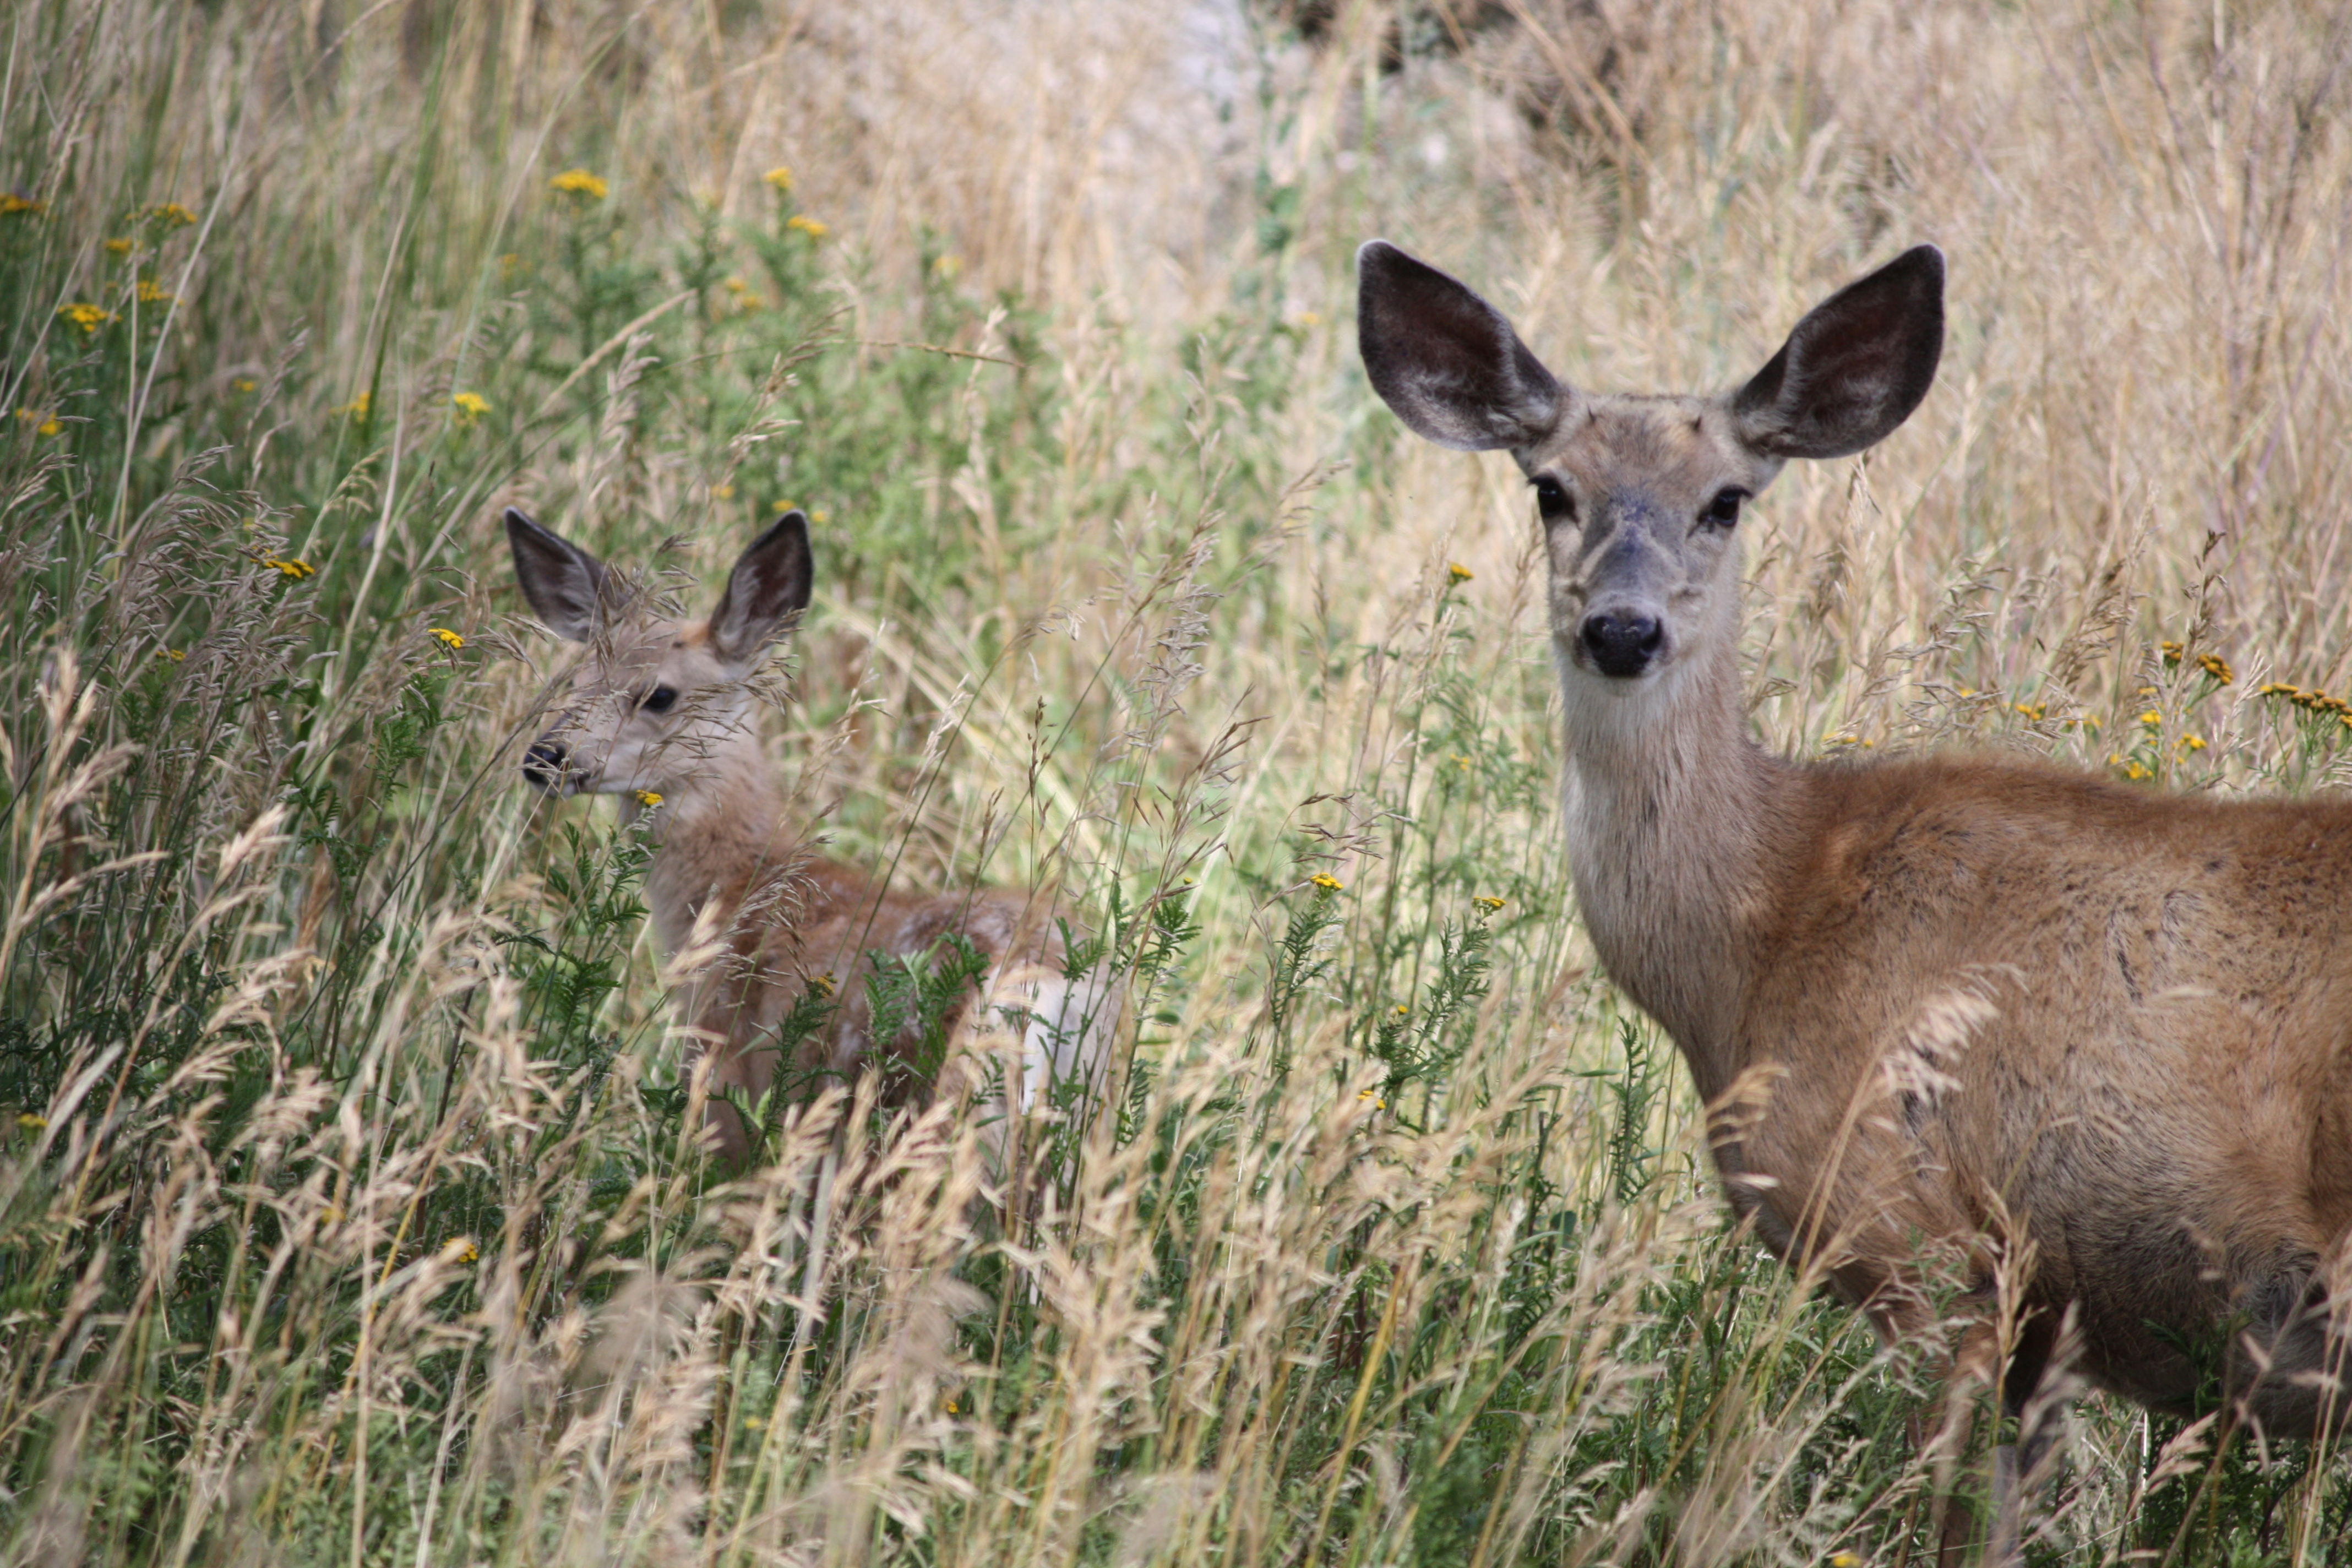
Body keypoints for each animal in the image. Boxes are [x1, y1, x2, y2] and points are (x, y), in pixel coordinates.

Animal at [510, 510, 1114, 1170]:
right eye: (577, 679)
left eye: (659, 694)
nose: (544, 758)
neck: (738, 892)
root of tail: (1054, 985)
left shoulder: (725, 1092)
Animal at [1354, 242, 2352, 1561]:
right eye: (1550, 488)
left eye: (1727, 499)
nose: (1622, 628)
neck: (1764, 925)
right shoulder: (2043, 1316)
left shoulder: (1920, 1237)